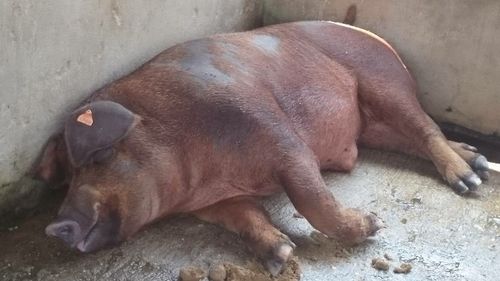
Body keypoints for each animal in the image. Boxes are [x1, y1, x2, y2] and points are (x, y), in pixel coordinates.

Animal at [35, 21, 488, 274]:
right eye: (67, 177)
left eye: (98, 156)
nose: (54, 226)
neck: (200, 171)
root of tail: (377, 38)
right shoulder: (214, 202)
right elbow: (245, 218)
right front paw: (279, 256)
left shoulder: (283, 139)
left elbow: (311, 198)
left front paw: (374, 225)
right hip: (373, 126)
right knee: (415, 137)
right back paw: (479, 161)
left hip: (384, 82)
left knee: (426, 129)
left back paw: (468, 182)